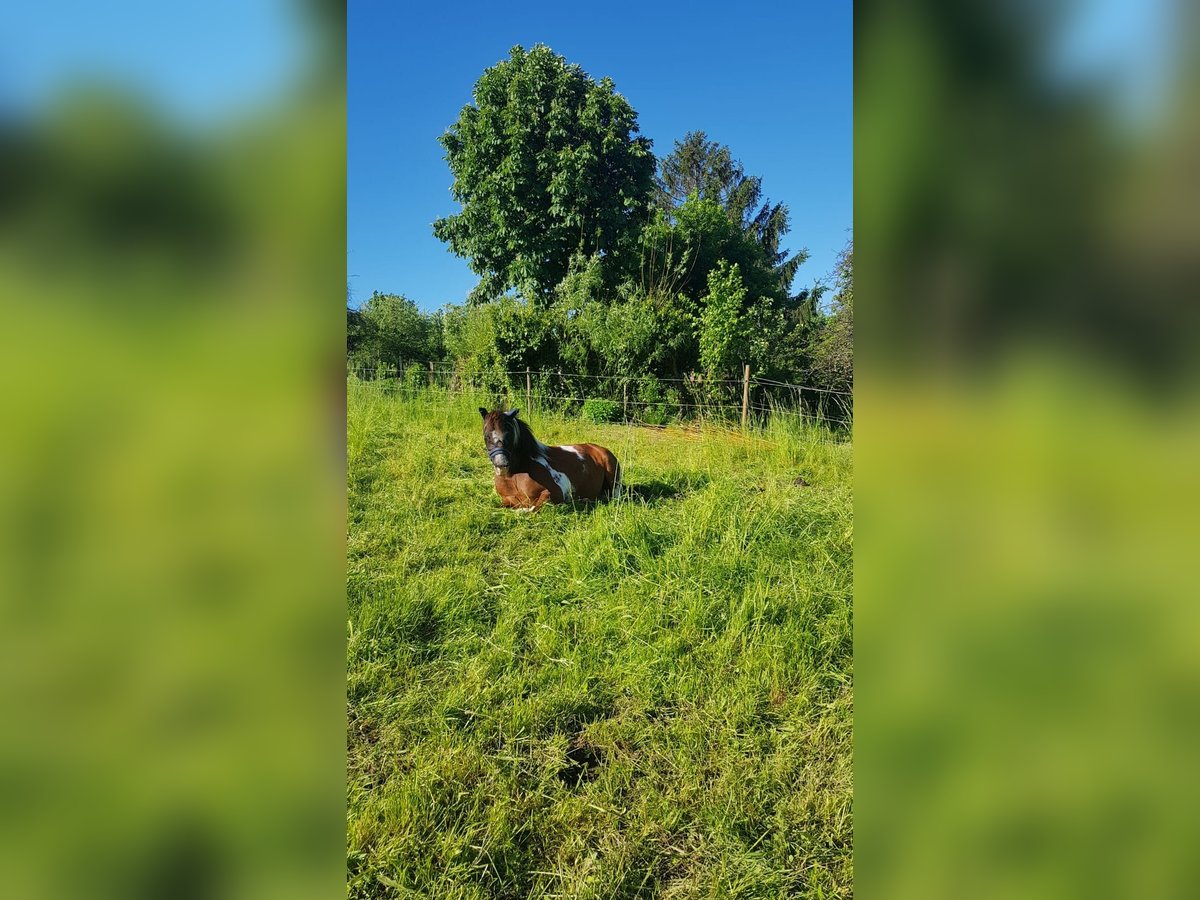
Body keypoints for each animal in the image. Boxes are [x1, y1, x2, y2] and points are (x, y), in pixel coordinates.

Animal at [477, 410, 624, 511]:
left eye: (509, 434)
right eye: (486, 435)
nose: (501, 464)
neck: (513, 476)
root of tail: (600, 448)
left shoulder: (554, 494)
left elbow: (530, 509)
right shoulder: (506, 499)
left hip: (613, 479)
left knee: (615, 494)